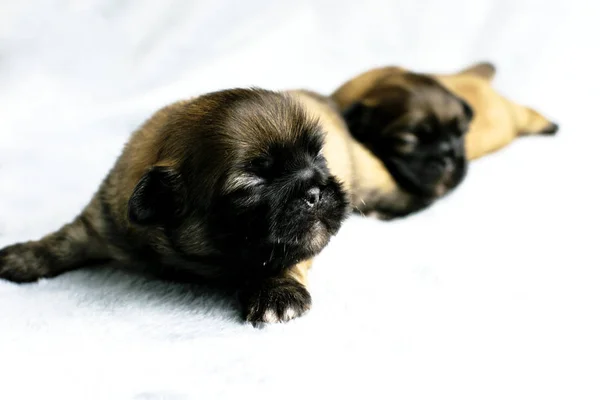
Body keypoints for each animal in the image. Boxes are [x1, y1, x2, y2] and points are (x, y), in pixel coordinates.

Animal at [0, 87, 350, 324]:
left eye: (318, 156)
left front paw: (277, 291)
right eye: (253, 183)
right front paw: (22, 256)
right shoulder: (101, 221)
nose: (316, 191)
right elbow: (62, 241)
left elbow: (289, 254)